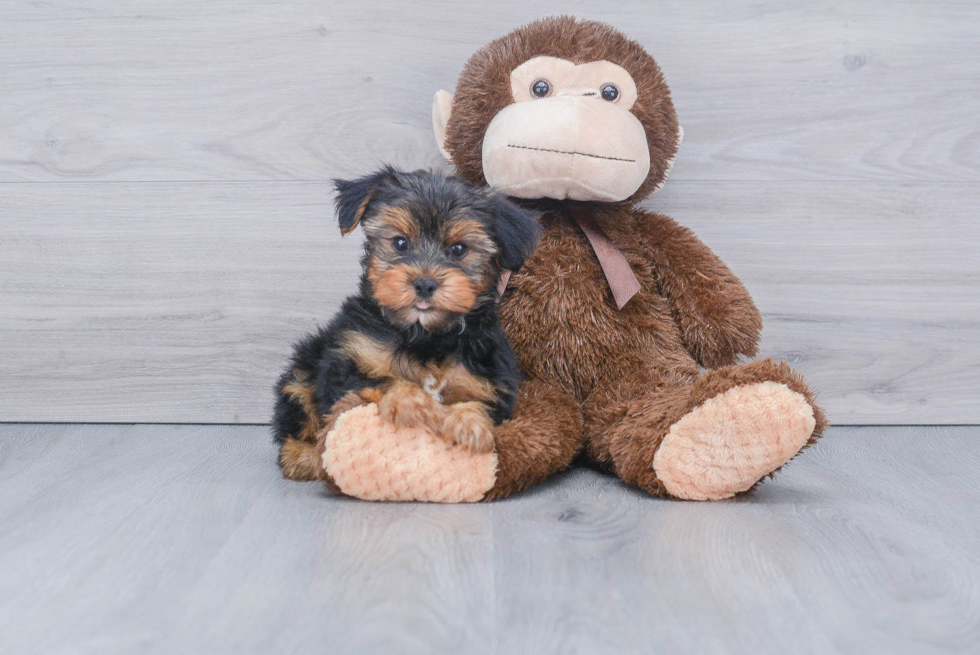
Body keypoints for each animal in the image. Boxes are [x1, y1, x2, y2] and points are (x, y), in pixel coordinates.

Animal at [272, 167, 540, 480]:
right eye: (400, 243)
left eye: (459, 249)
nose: (424, 284)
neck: (424, 334)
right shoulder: (347, 359)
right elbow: (380, 380)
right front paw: (411, 401)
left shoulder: (491, 378)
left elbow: (480, 403)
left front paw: (469, 425)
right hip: (306, 365)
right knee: (299, 401)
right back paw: (301, 456)